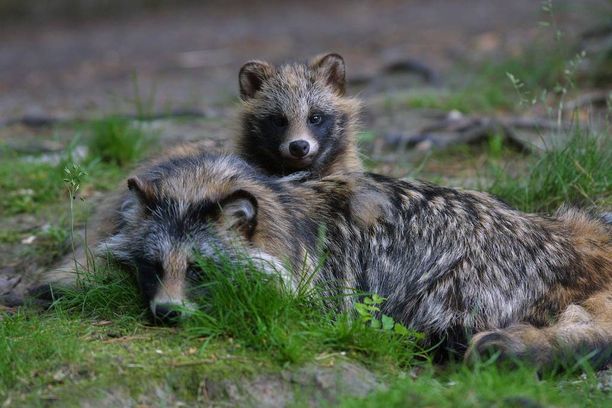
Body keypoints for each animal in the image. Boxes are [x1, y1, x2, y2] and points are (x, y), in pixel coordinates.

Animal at [39, 151, 612, 368]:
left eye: (199, 270)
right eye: (155, 268)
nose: (166, 314)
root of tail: (576, 241)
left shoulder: (327, 285)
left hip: (458, 289)